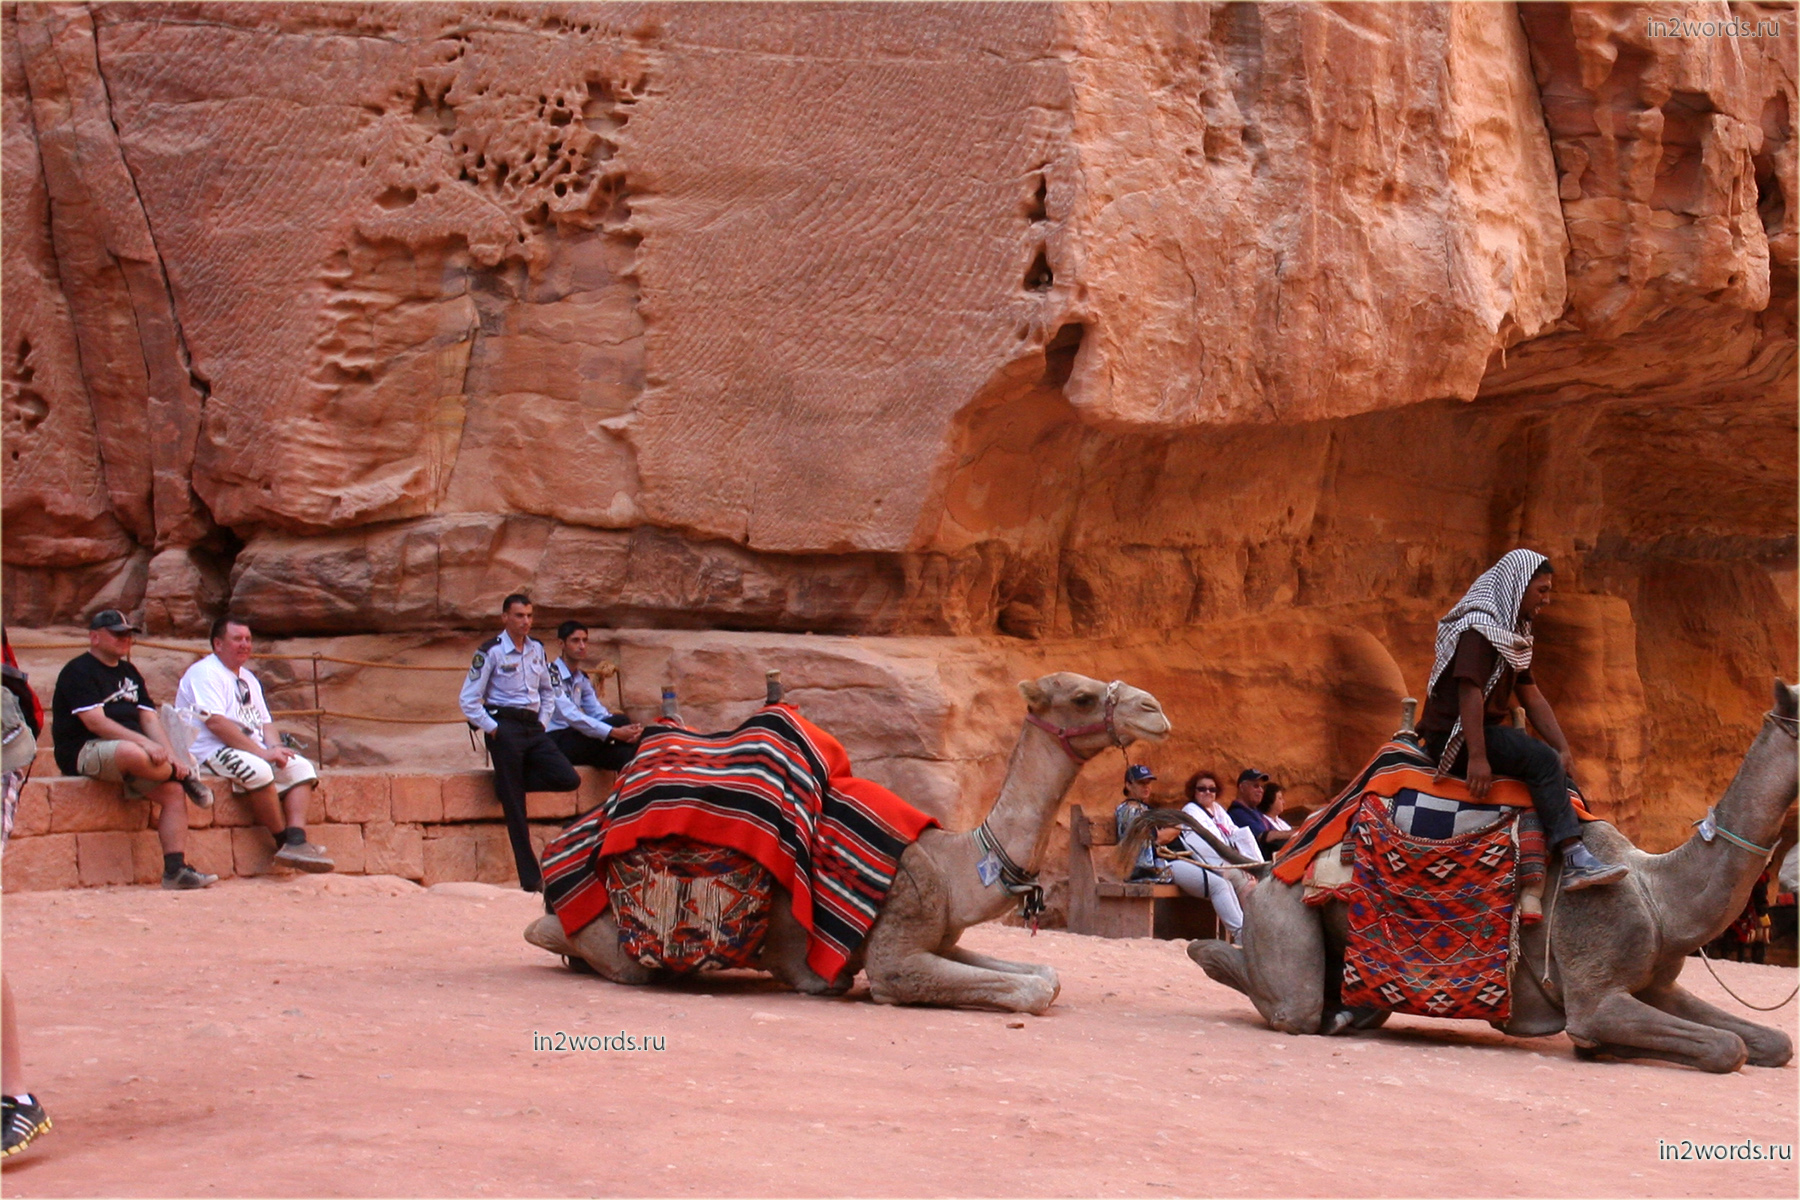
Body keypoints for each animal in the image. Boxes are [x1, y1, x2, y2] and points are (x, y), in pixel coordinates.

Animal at [525, 676, 1166, 1014]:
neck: (956, 866)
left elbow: (1044, 972)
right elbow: (1030, 989)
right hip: (613, 931)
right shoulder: (896, 953)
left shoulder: (942, 936)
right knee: (564, 940)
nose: (1154, 709)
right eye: (1081, 697)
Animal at [1188, 680, 1792, 1072]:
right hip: (1280, 909)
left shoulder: (1655, 984)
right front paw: (1604, 1048)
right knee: (1288, 1002)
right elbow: (1726, 1048)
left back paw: (1343, 1010)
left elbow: (1773, 1042)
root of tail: (1273, 863)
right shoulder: (1596, 996)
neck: (1658, 895)